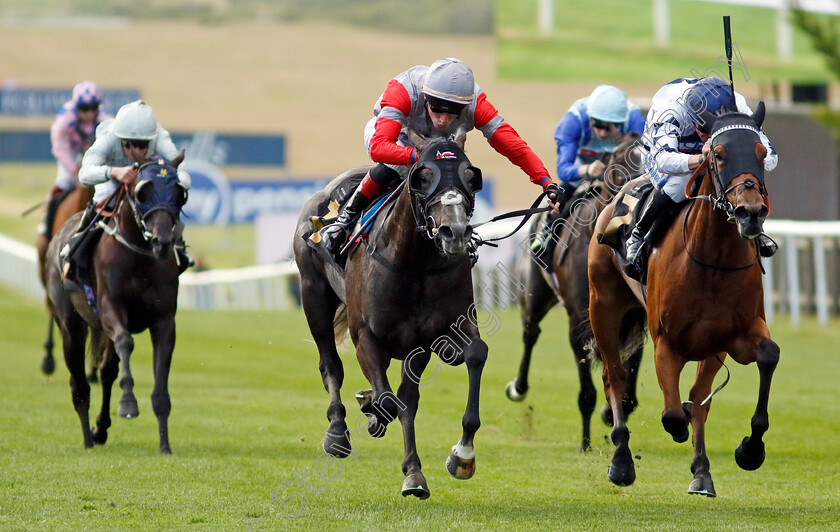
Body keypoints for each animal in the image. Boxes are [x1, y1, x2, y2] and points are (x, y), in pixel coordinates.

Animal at [46, 154, 187, 454]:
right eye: (142, 190)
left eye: (179, 193)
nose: (163, 242)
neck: (140, 258)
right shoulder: (111, 309)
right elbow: (125, 342)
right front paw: (128, 403)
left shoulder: (164, 321)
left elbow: (159, 386)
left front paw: (165, 444)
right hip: (70, 325)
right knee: (79, 383)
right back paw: (88, 438)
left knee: (106, 370)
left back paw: (100, 429)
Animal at [502, 135, 648, 450]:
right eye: (620, 168)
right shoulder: (578, 320)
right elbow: (586, 393)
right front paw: (585, 443)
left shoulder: (635, 319)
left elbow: (628, 388)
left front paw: (612, 415)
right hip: (535, 293)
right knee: (530, 333)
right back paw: (517, 388)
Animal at [588, 106, 776, 496]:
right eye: (718, 154)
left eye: (761, 152)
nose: (751, 212)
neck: (712, 261)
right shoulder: (667, 343)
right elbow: (672, 414)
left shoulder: (736, 336)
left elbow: (767, 355)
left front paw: (750, 450)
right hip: (603, 306)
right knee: (615, 377)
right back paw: (621, 460)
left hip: (712, 347)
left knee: (700, 395)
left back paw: (702, 472)